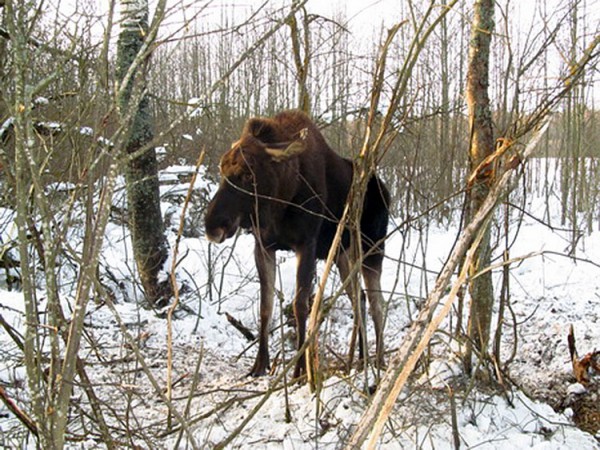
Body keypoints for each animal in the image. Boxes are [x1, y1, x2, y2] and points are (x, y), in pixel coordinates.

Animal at [204, 110, 392, 378]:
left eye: (249, 174)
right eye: (221, 170)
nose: (213, 226)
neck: (283, 200)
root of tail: (387, 192)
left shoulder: (306, 245)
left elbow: (300, 305)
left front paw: (301, 369)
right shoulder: (264, 246)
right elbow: (266, 306)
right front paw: (260, 365)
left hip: (373, 250)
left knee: (378, 304)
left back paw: (379, 361)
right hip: (343, 255)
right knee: (360, 299)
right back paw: (360, 358)